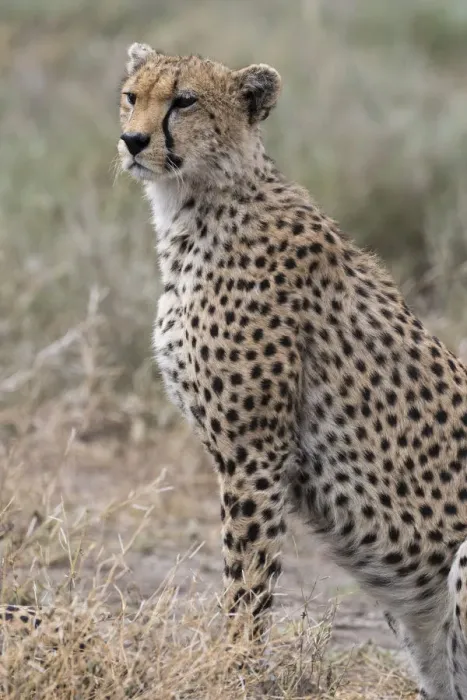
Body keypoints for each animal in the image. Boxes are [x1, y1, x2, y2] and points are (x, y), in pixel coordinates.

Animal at [116, 42, 467, 699]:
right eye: (132, 96)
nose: (132, 140)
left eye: (184, 101)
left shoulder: (255, 451)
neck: (198, 202)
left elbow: (248, 576)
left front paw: (234, 667)